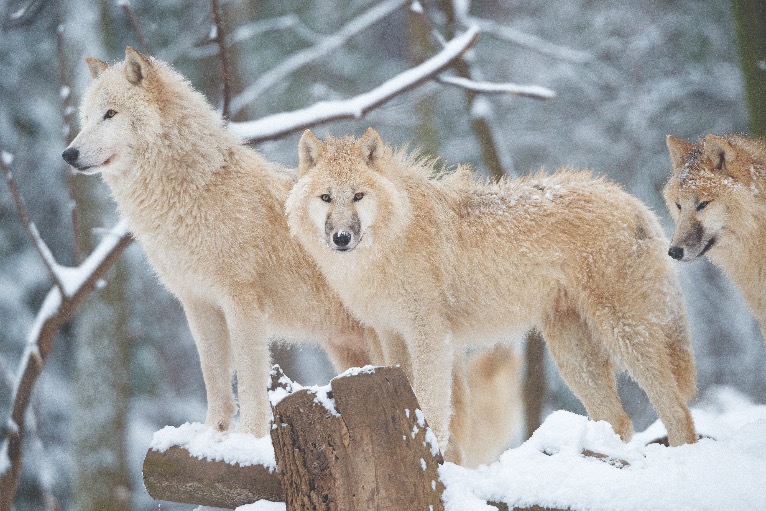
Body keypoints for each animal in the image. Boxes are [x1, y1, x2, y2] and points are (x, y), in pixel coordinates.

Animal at [284, 128, 700, 448]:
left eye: (358, 196)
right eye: (326, 197)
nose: (341, 238)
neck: (389, 242)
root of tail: (634, 203)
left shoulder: (430, 336)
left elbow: (433, 406)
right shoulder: (391, 334)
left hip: (625, 336)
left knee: (678, 412)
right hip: (572, 355)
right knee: (619, 420)